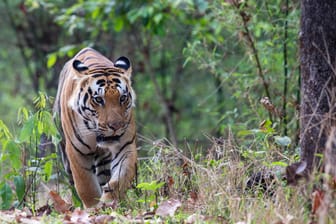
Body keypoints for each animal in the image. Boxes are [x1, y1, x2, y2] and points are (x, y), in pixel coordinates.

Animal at [53, 47, 137, 208]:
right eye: (98, 99)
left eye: (122, 98)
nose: (116, 126)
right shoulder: (76, 151)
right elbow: (86, 185)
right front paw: (93, 208)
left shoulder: (125, 146)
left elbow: (120, 179)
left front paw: (109, 202)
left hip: (104, 161)